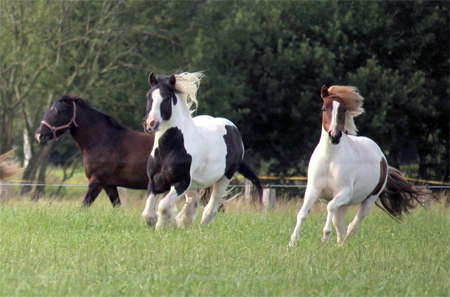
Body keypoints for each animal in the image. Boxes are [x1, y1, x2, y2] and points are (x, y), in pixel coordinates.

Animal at [142, 71, 262, 229]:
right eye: (148, 96)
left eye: (167, 98)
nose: (150, 124)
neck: (168, 149)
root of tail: (232, 128)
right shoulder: (155, 181)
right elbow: (147, 214)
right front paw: (166, 222)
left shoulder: (182, 182)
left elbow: (163, 205)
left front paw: (162, 226)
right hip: (194, 183)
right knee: (193, 199)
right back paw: (184, 221)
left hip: (224, 177)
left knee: (210, 208)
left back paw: (201, 224)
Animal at [290, 85, 424, 245]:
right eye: (323, 109)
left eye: (344, 110)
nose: (334, 136)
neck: (330, 159)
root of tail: (382, 157)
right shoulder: (313, 190)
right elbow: (302, 213)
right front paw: (292, 242)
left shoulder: (344, 193)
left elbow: (329, 207)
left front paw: (325, 237)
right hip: (343, 205)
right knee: (340, 226)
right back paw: (339, 245)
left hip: (369, 200)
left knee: (353, 225)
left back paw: (341, 244)